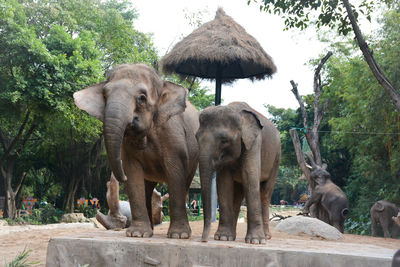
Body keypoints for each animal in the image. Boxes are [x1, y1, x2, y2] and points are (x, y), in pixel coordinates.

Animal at [73, 64, 198, 239]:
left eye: (142, 98)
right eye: (105, 95)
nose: (119, 177)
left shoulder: (174, 135)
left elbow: (175, 174)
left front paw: (179, 236)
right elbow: (133, 173)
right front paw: (137, 234)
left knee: (185, 183)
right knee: (147, 188)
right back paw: (149, 231)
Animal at [197, 102, 282, 245]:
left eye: (224, 140)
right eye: (196, 137)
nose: (203, 240)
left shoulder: (254, 142)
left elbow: (250, 176)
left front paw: (256, 241)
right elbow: (224, 183)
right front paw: (222, 238)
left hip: (276, 158)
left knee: (265, 193)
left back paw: (266, 236)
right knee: (238, 194)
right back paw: (231, 236)